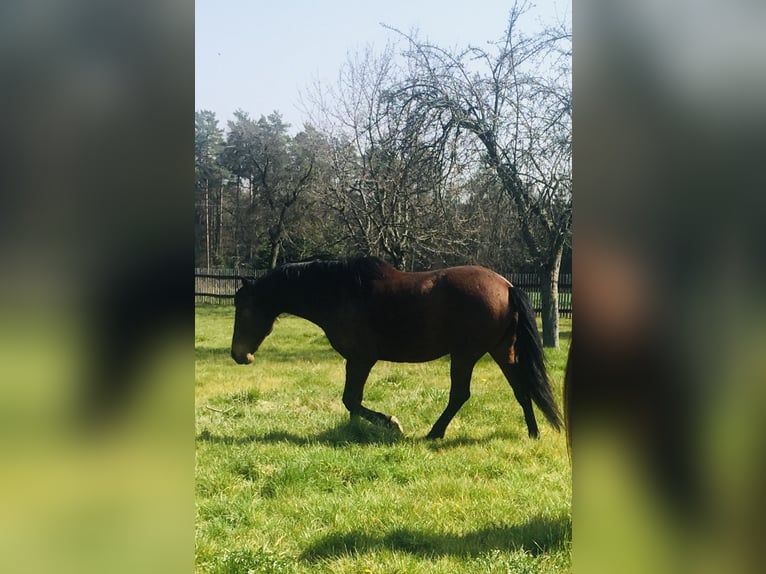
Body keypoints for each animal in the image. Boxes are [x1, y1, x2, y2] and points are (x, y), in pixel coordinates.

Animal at [230, 256, 562, 439]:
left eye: (243, 309)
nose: (239, 355)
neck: (340, 293)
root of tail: (507, 286)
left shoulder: (360, 359)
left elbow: (351, 400)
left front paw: (391, 423)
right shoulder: (355, 361)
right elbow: (352, 403)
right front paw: (354, 431)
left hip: (465, 355)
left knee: (460, 395)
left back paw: (435, 433)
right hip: (501, 351)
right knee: (521, 389)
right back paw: (533, 432)